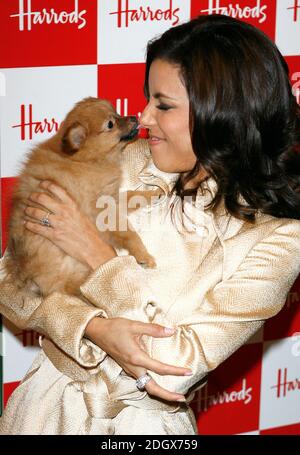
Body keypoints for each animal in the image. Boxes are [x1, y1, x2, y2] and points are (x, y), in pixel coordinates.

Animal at [1, 97, 159, 298]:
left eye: (117, 113)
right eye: (110, 124)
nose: (134, 117)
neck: (87, 161)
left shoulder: (112, 198)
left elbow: (132, 195)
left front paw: (155, 192)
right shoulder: (103, 210)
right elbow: (129, 233)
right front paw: (143, 255)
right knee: (72, 287)